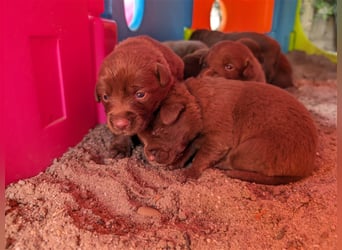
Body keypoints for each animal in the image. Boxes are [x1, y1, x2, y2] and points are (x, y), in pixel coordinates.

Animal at [138, 77, 318, 185]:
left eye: (159, 130)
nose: (149, 156)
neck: (199, 104)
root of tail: (306, 170)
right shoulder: (197, 138)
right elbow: (189, 150)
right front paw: (176, 164)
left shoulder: (218, 139)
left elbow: (201, 157)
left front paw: (189, 173)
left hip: (249, 149)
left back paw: (222, 165)